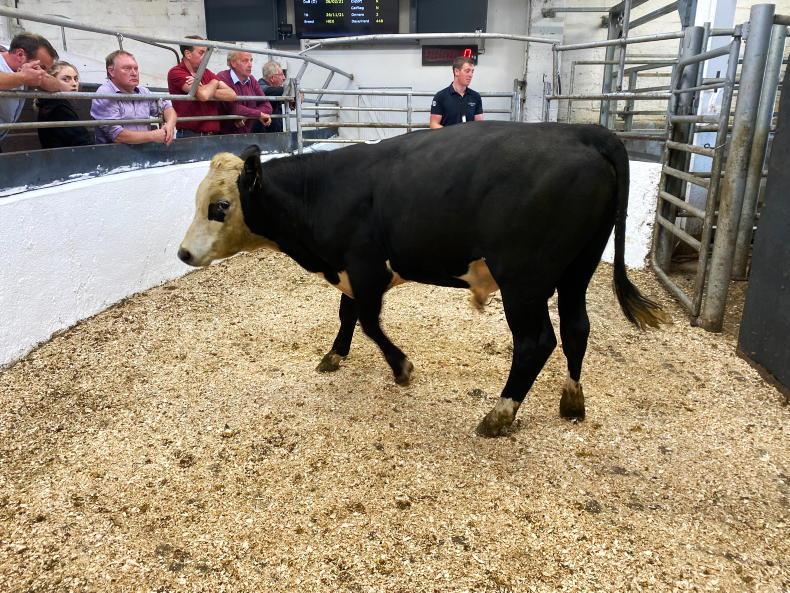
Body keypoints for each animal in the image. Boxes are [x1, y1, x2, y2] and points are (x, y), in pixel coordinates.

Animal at [177, 121, 666, 437]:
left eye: (220, 206)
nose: (184, 253)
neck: (323, 191)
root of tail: (581, 131)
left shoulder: (366, 268)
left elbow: (369, 322)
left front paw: (401, 367)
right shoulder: (351, 272)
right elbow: (347, 315)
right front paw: (334, 356)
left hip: (524, 282)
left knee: (537, 341)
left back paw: (499, 415)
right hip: (577, 270)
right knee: (577, 327)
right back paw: (572, 402)